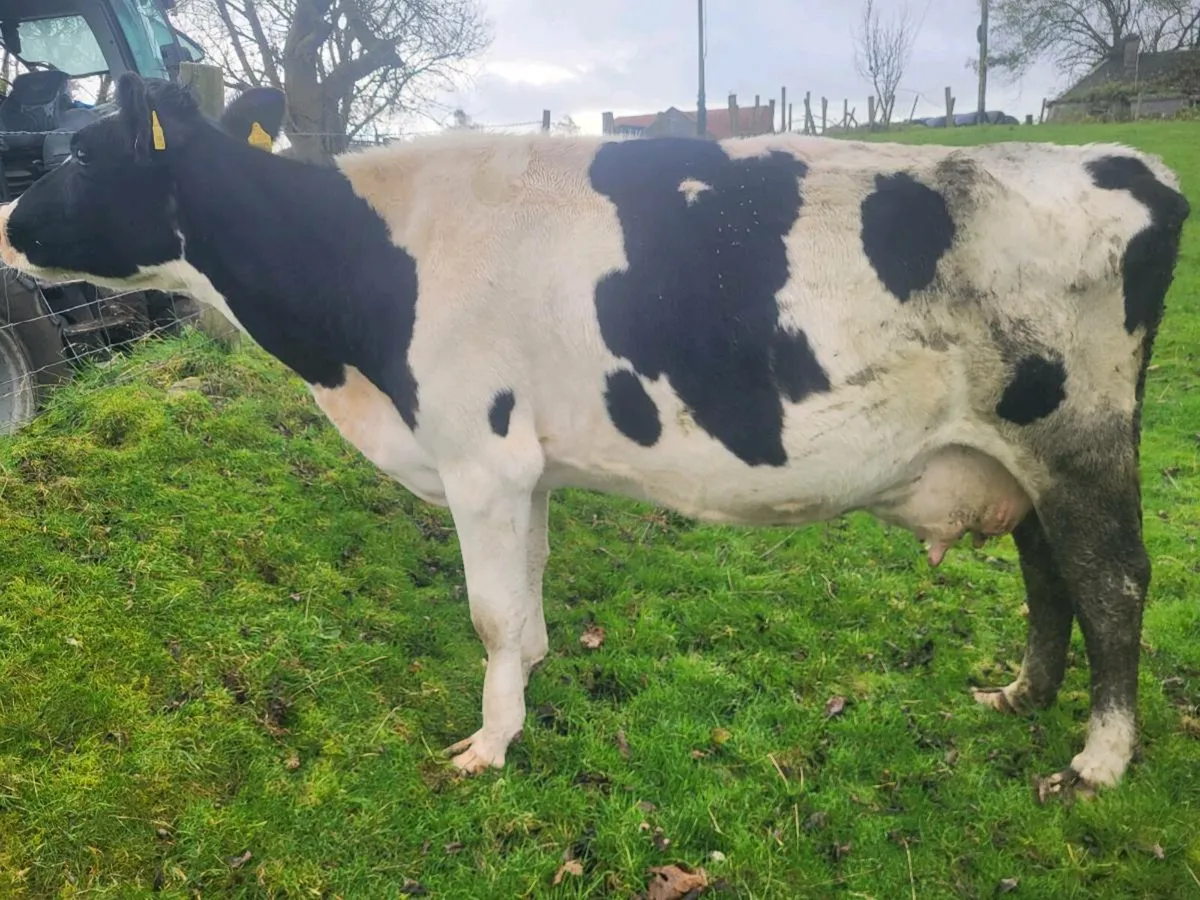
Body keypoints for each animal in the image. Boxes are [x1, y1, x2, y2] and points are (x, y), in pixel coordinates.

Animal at [0, 73, 1189, 801]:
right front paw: (523, 700)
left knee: (1112, 581)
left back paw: (1098, 759)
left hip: (1080, 437)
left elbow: (487, 612)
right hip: (1016, 451)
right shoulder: (525, 468)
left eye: (87, 153)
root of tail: (1126, 164)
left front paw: (485, 748)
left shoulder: (479, 457)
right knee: (1049, 573)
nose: (7, 221)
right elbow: (523, 608)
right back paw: (1020, 694)